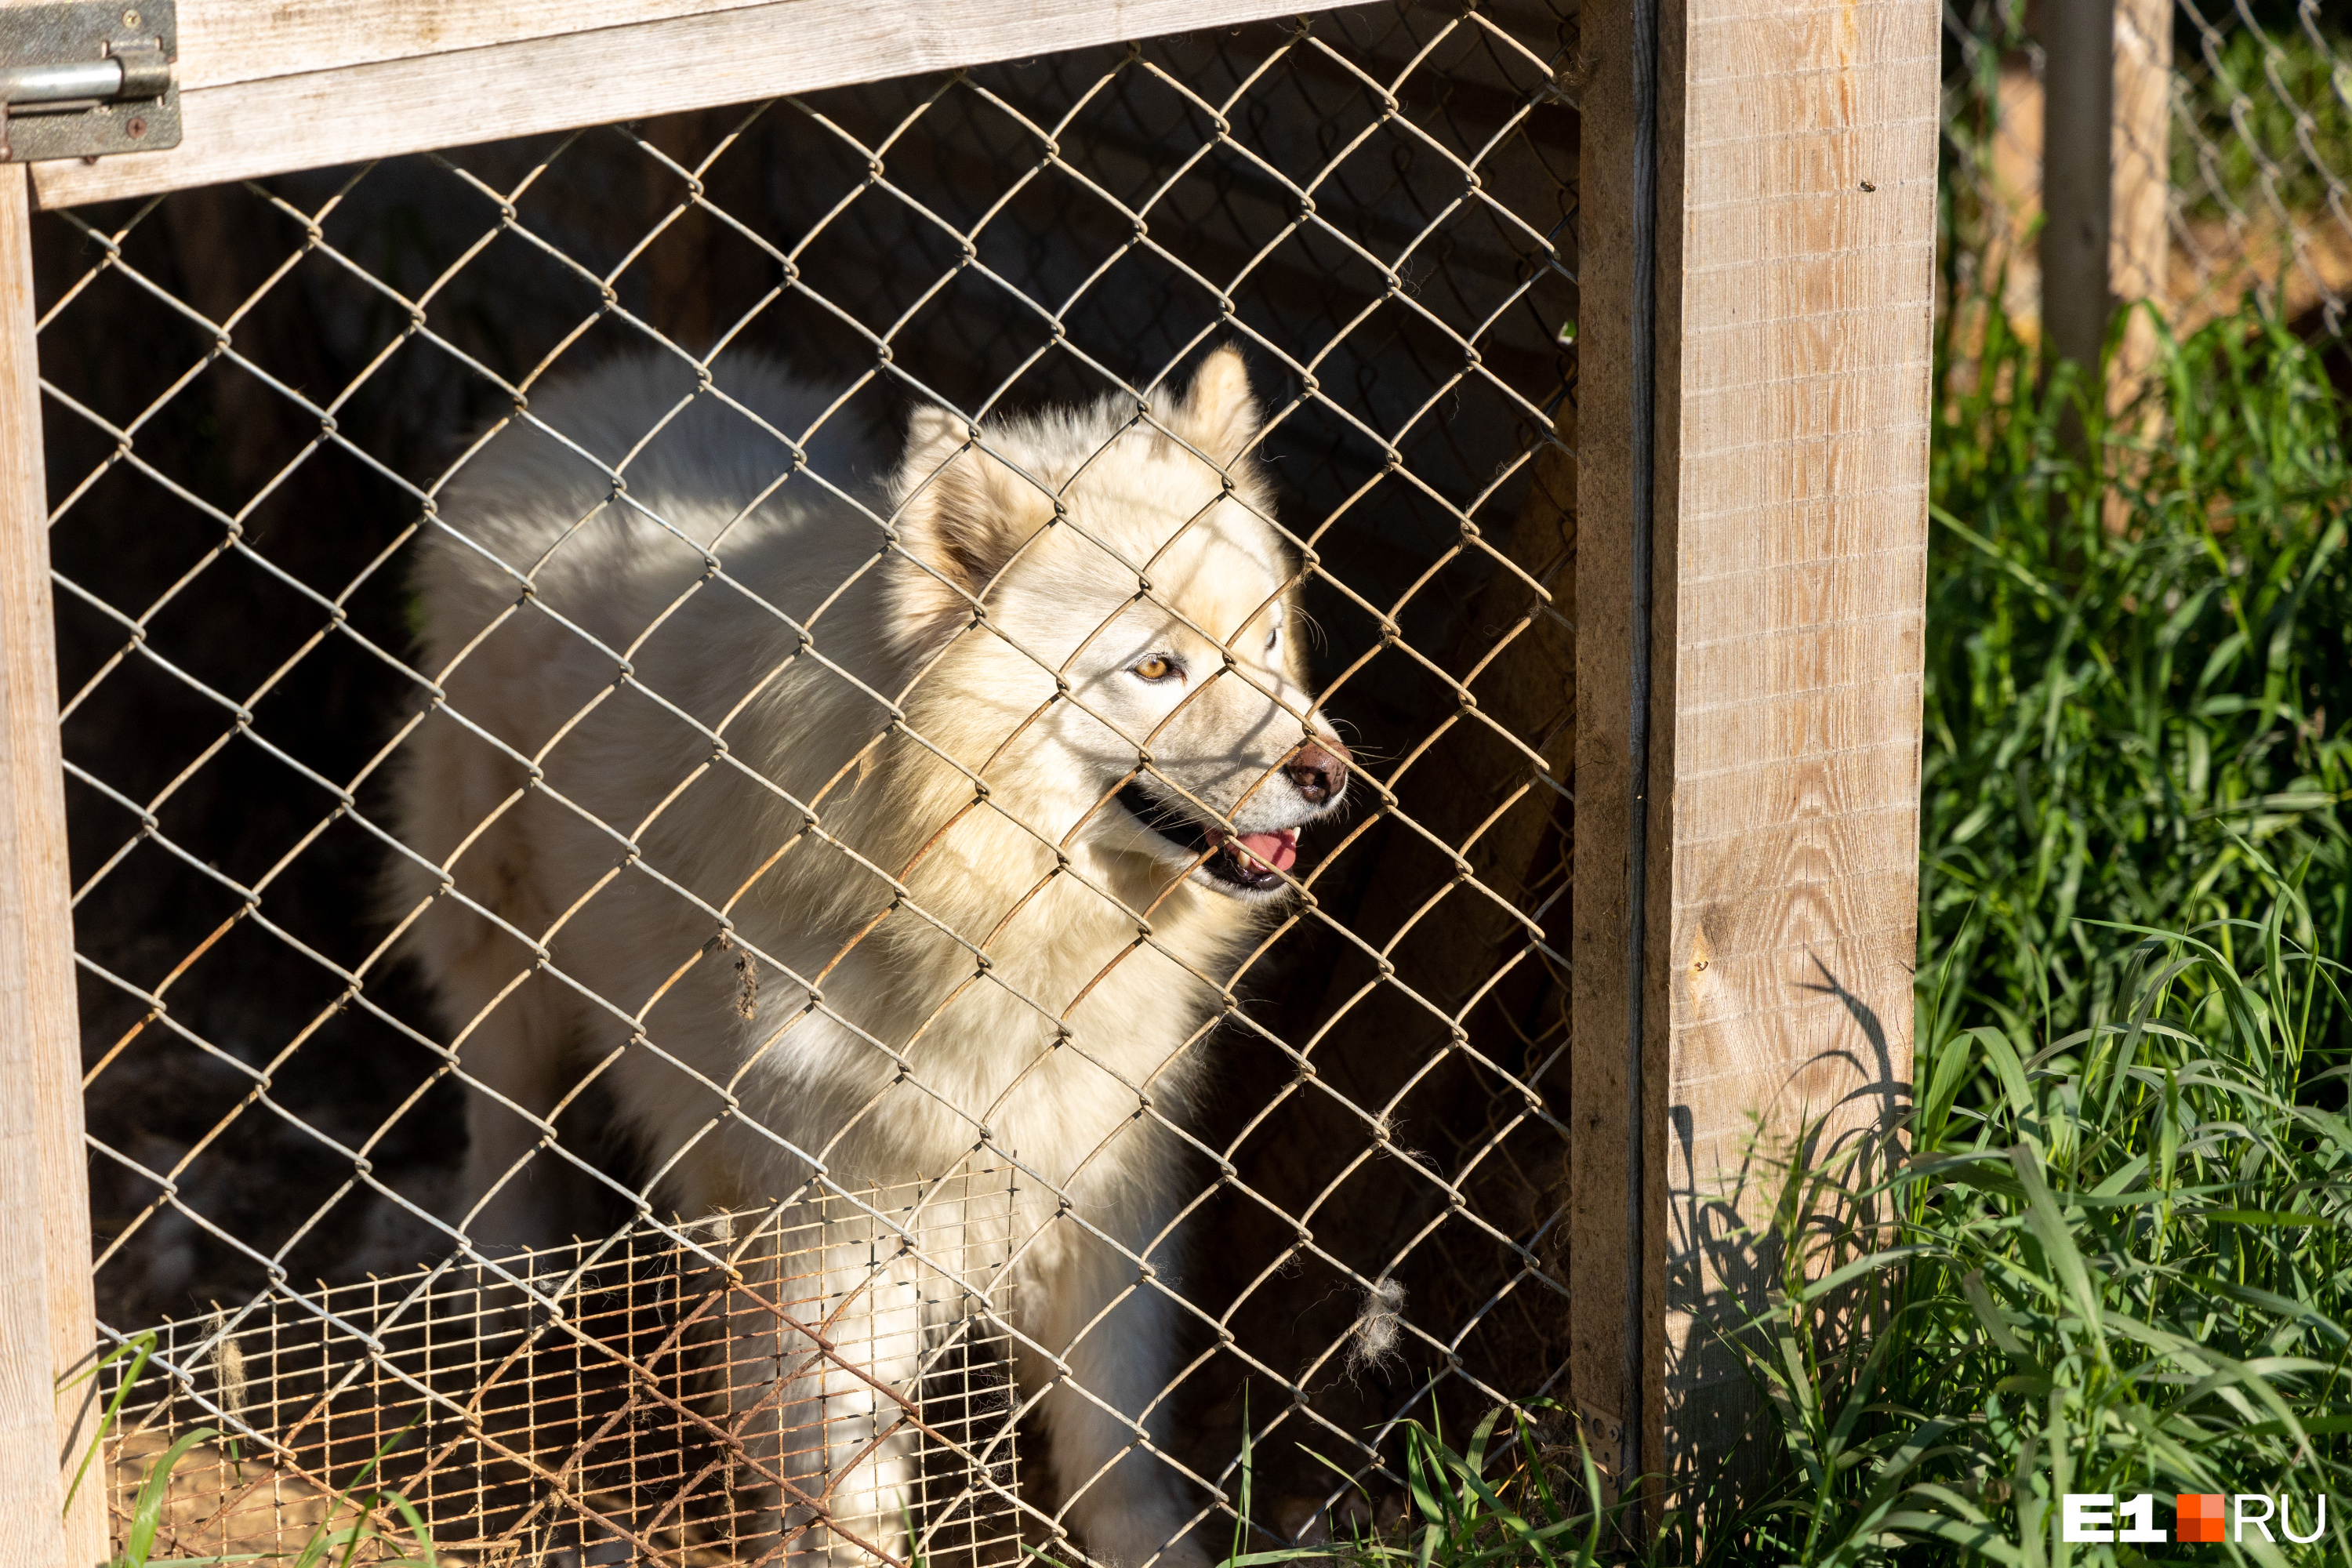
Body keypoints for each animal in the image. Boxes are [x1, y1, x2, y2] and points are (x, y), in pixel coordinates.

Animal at [386, 350, 1345, 1568]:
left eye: (1265, 641)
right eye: (1158, 667)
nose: (1328, 772)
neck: (984, 919)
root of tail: (597, 388)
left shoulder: (1098, 1174)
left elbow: (1113, 1421)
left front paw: (1149, 1545)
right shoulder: (842, 1230)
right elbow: (849, 1465)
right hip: (497, 931)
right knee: (504, 1113)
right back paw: (501, 1274)